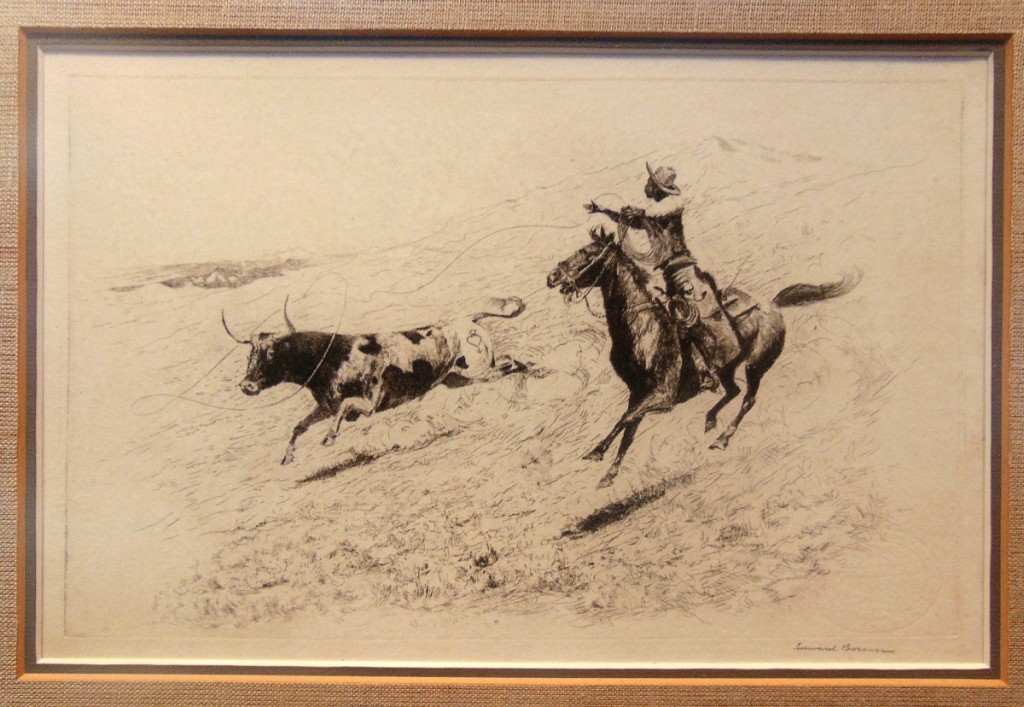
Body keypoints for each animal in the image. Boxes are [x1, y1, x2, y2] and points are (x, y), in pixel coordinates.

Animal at [548, 225, 860, 483]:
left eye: (588, 253)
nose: (553, 276)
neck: (644, 327)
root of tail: (772, 305)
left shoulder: (662, 396)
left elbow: (625, 420)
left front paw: (596, 452)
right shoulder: (638, 394)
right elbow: (629, 429)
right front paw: (609, 474)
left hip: (755, 366)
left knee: (748, 399)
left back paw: (722, 439)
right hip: (726, 369)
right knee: (733, 391)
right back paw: (710, 420)